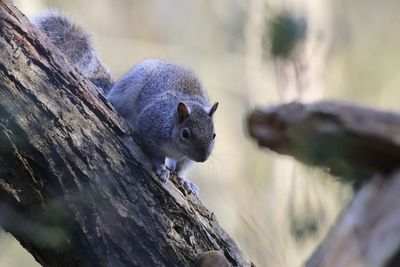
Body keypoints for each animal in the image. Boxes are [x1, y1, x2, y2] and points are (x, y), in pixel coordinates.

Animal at [33, 11, 219, 195]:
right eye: (185, 133)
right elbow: (153, 151)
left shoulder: (185, 158)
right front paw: (161, 168)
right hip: (128, 87)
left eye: (214, 135)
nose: (202, 158)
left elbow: (181, 168)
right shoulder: (150, 125)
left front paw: (185, 181)